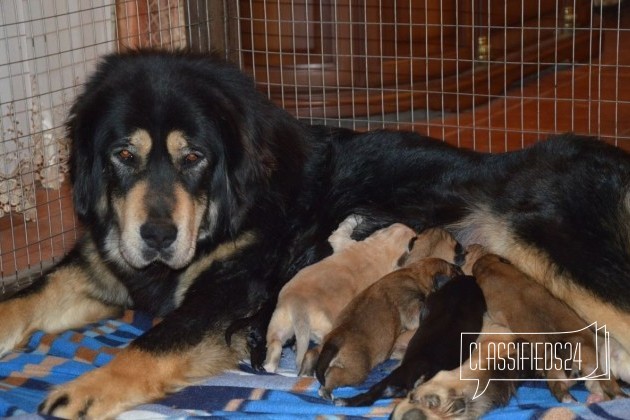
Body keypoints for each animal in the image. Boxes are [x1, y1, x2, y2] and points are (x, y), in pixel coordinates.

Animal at [264, 218, 418, 372]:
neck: (382, 247)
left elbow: (338, 233)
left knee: (275, 343)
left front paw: (354, 219)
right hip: (324, 327)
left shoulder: (345, 243)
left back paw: (269, 366)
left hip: (280, 321)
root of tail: (299, 306)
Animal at [312, 260, 464, 400]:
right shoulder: (412, 309)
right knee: (335, 375)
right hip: (355, 371)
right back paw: (326, 390)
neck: (415, 273)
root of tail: (334, 339)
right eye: (455, 272)